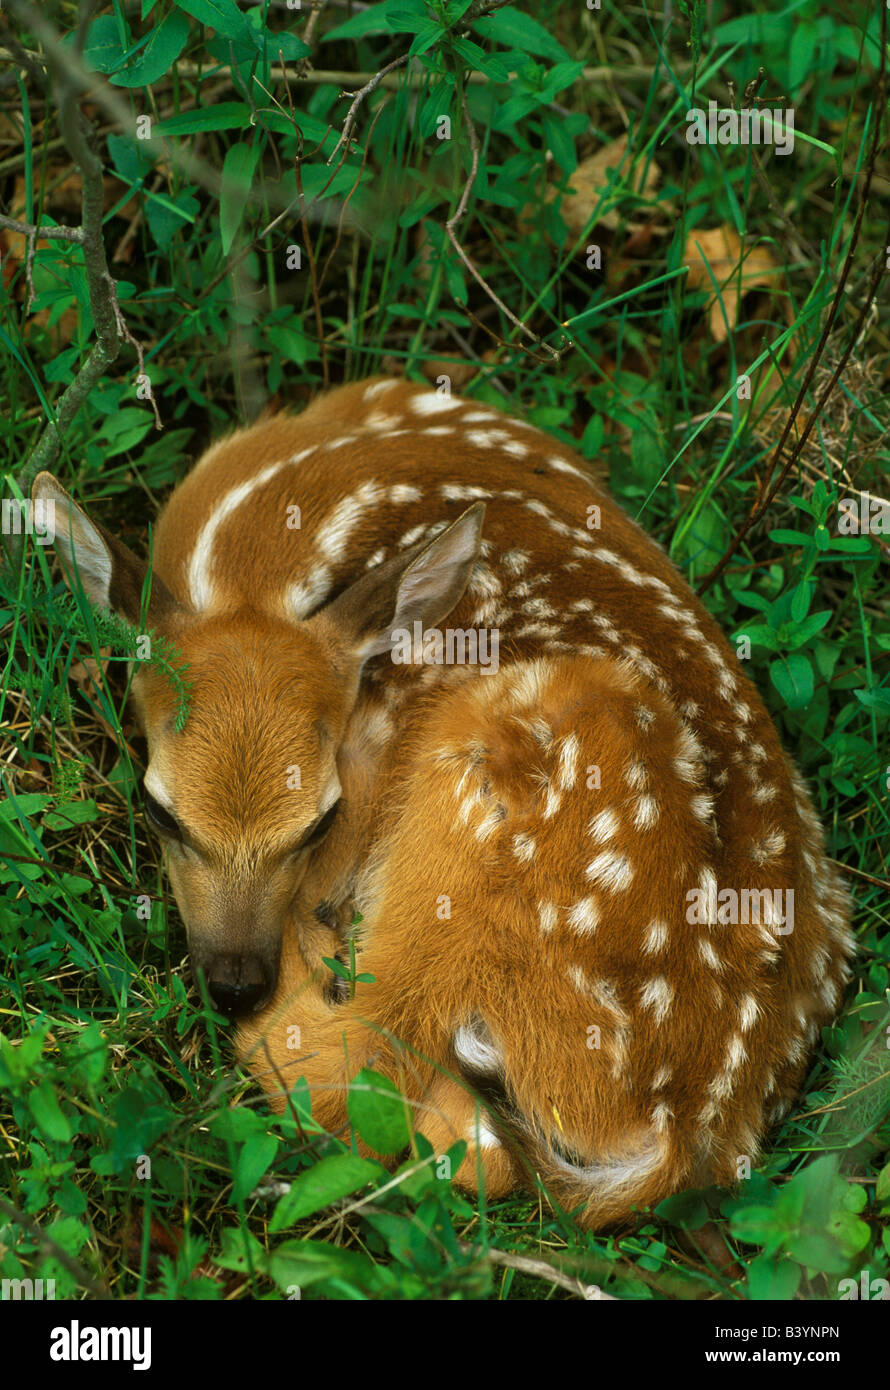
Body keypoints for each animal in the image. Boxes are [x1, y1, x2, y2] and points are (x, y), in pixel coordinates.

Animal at [32, 374, 855, 1228]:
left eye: (320, 820)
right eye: (161, 812)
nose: (235, 982)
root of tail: (692, 1132)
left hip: (489, 839)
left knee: (354, 1069)